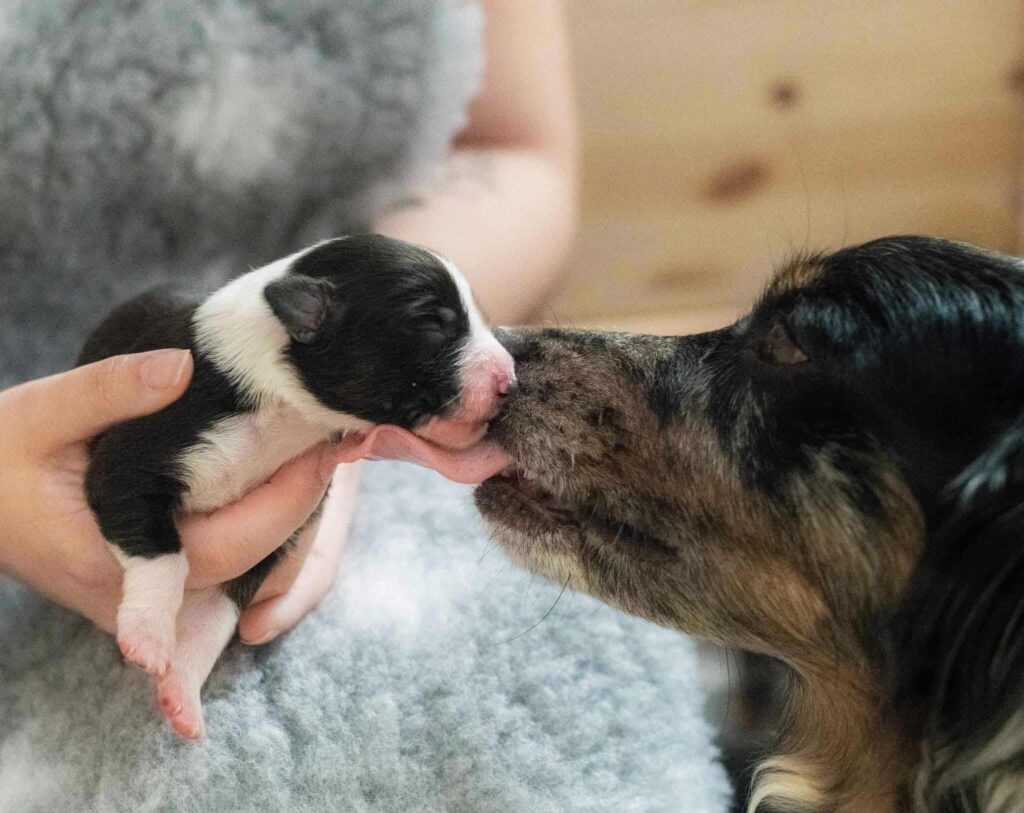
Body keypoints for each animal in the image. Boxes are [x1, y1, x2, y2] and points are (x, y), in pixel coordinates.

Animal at [80, 234, 514, 739]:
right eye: (432, 322)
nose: (511, 381)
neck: (285, 409)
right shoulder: (127, 464)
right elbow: (166, 557)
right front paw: (149, 636)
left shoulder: (269, 542)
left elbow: (218, 612)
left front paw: (182, 691)